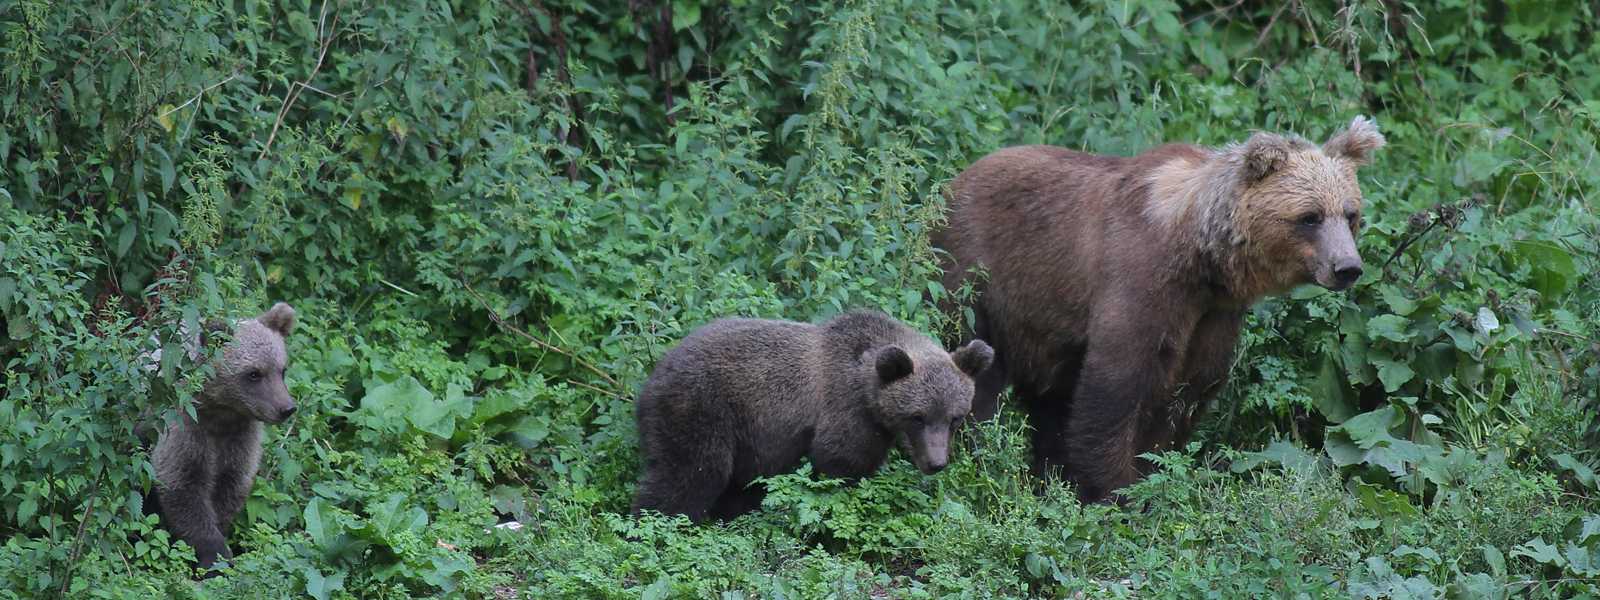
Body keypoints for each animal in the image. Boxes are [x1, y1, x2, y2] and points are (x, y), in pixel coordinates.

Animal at [934, 118, 1388, 502]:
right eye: (1309, 217)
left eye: (1351, 214)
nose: (1347, 268)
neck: (1200, 255)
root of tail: (954, 181)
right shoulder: (1141, 279)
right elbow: (1117, 383)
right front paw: (1113, 489)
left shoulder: (1213, 313)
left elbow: (1190, 388)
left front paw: (1149, 470)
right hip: (979, 277)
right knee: (974, 367)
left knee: (1049, 398)